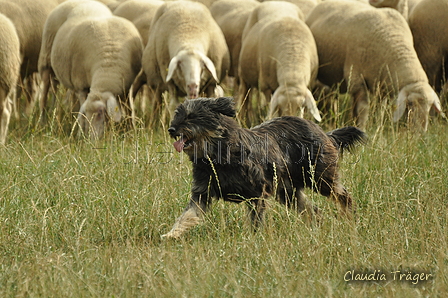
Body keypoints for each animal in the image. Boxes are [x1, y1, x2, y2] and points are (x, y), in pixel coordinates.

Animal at [40, 0, 143, 139]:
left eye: (101, 112)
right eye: (89, 113)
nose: (93, 139)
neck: (107, 67)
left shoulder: (127, 86)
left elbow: (130, 109)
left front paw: (132, 132)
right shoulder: (82, 85)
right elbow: (81, 114)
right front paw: (80, 134)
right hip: (46, 59)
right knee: (45, 93)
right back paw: (42, 121)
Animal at [163, 96, 366, 239]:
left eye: (191, 116)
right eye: (177, 114)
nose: (171, 129)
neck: (218, 155)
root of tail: (323, 132)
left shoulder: (257, 192)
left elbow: (256, 221)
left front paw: (254, 239)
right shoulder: (202, 192)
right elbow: (187, 215)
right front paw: (172, 234)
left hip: (319, 177)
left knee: (342, 195)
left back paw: (350, 216)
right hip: (288, 191)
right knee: (313, 210)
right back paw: (317, 225)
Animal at [306, 0, 442, 132]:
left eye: (430, 106)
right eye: (410, 103)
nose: (420, 132)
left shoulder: (382, 86)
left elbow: (381, 108)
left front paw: (378, 124)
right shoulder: (356, 79)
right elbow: (362, 109)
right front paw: (361, 128)